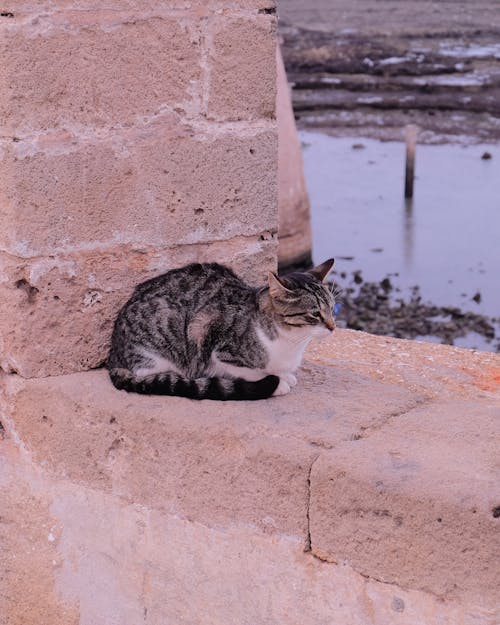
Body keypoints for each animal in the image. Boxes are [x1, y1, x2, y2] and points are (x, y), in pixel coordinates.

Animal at [109, 258, 336, 400]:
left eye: (332, 308)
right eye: (315, 313)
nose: (333, 327)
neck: (292, 343)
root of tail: (113, 355)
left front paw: (285, 375)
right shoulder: (209, 337)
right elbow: (251, 372)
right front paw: (279, 382)